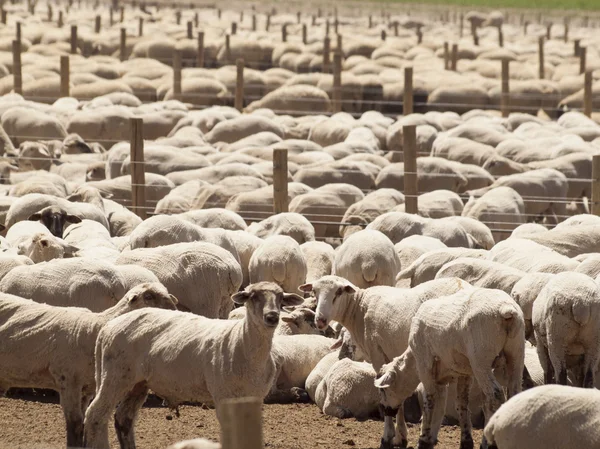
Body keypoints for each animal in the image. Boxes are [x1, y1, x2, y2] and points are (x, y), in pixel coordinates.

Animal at [0, 284, 178, 448]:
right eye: (148, 296)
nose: (175, 310)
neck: (96, 327)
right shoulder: (68, 381)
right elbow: (75, 423)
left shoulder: (86, 390)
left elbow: (84, 422)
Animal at [83, 280, 304, 448]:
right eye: (253, 296)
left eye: (281, 298)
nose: (272, 317)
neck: (242, 343)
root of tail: (107, 328)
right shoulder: (223, 396)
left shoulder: (255, 397)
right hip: (114, 376)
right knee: (95, 415)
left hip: (138, 383)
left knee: (123, 419)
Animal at [302, 274, 472, 446]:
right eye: (314, 292)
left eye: (338, 292)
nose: (320, 320)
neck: (359, 308)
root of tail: (462, 285)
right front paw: (400, 436)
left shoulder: (378, 354)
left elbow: (386, 392)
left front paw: (391, 436)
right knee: (449, 397)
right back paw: (433, 435)